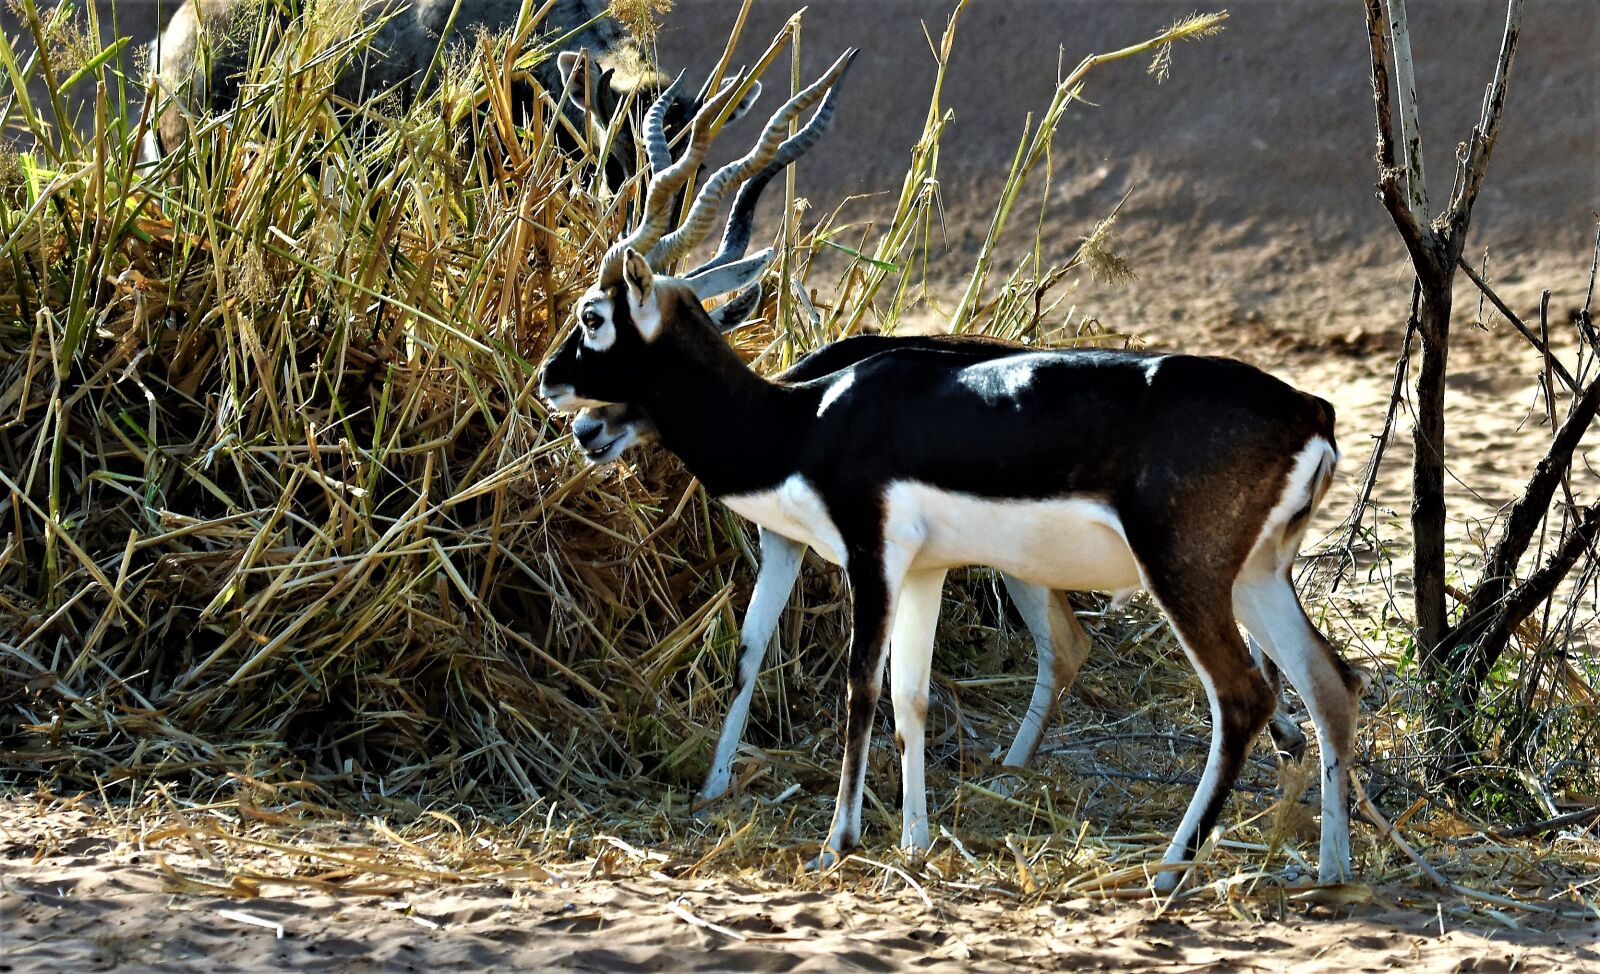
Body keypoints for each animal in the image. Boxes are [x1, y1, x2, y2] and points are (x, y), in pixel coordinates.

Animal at [539, 51, 1361, 891]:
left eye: (592, 317)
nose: (553, 389)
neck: (809, 418)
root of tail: (1310, 411)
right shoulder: (924, 569)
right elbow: (910, 699)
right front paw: (914, 843)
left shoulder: (869, 558)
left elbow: (861, 687)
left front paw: (838, 841)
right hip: (1255, 574)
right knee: (1331, 685)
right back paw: (1331, 869)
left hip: (1183, 574)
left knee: (1242, 696)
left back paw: (1167, 871)